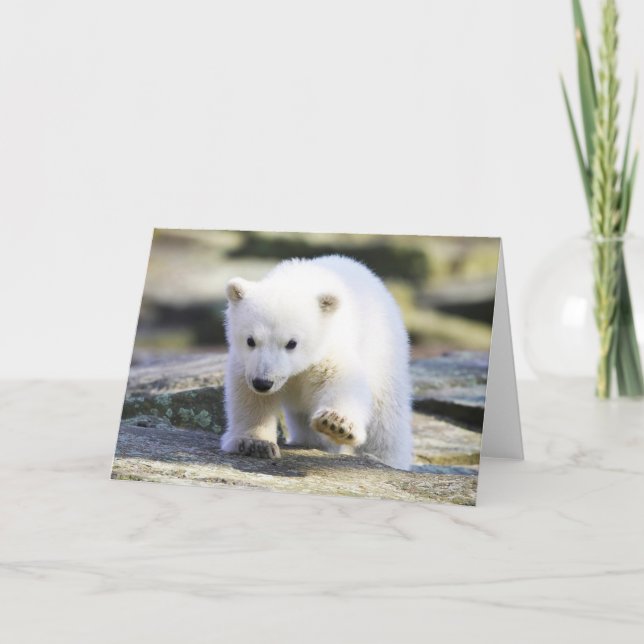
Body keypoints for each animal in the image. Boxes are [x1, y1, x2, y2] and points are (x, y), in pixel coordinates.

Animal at [221, 255, 413, 470]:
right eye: (250, 340)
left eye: (292, 343)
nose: (263, 383)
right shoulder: (246, 363)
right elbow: (249, 397)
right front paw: (255, 443)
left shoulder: (328, 348)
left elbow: (342, 380)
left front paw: (336, 424)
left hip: (384, 353)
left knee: (386, 420)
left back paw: (384, 458)